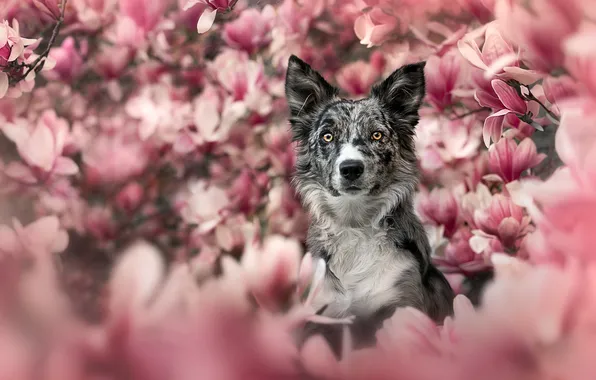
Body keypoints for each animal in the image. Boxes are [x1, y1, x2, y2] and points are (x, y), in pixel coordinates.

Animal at [286, 54, 454, 354]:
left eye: (377, 135)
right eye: (327, 136)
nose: (351, 168)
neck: (355, 224)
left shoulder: (402, 304)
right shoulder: (324, 315)